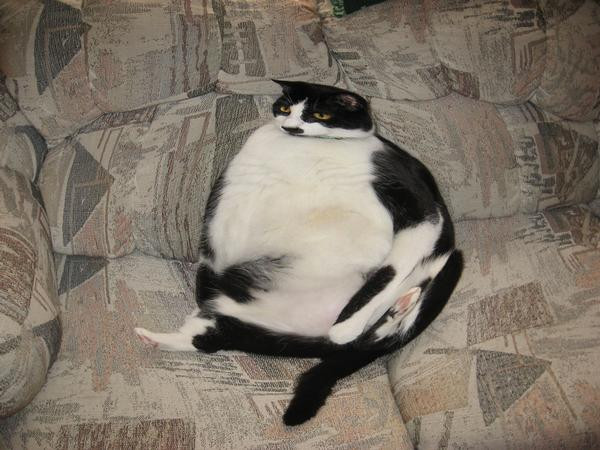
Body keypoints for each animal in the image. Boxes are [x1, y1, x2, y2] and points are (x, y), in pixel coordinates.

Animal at [135, 80, 463, 426]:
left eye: (320, 114)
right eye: (284, 107)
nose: (291, 127)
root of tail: (312, 334)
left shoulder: (421, 212)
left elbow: (386, 275)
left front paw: (346, 325)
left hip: (441, 253)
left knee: (385, 320)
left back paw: (391, 310)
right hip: (244, 321)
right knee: (211, 338)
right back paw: (152, 337)